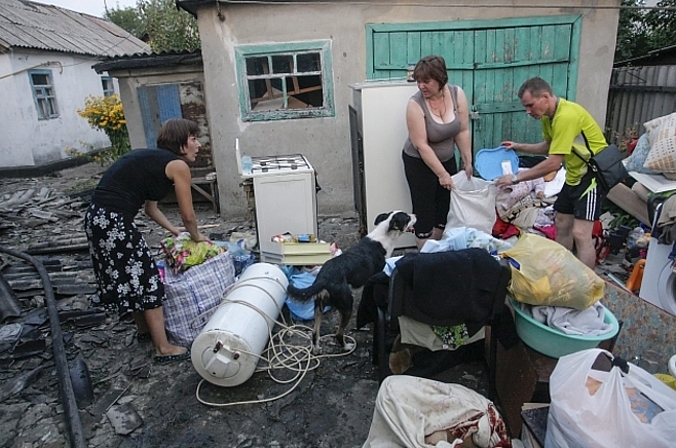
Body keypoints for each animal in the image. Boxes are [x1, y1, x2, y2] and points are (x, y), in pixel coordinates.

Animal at [284, 210, 412, 354]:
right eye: (408, 218)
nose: (415, 216)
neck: (385, 235)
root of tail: (323, 278)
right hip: (347, 304)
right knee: (338, 334)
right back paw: (346, 347)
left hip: (319, 307)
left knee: (315, 332)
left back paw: (316, 349)